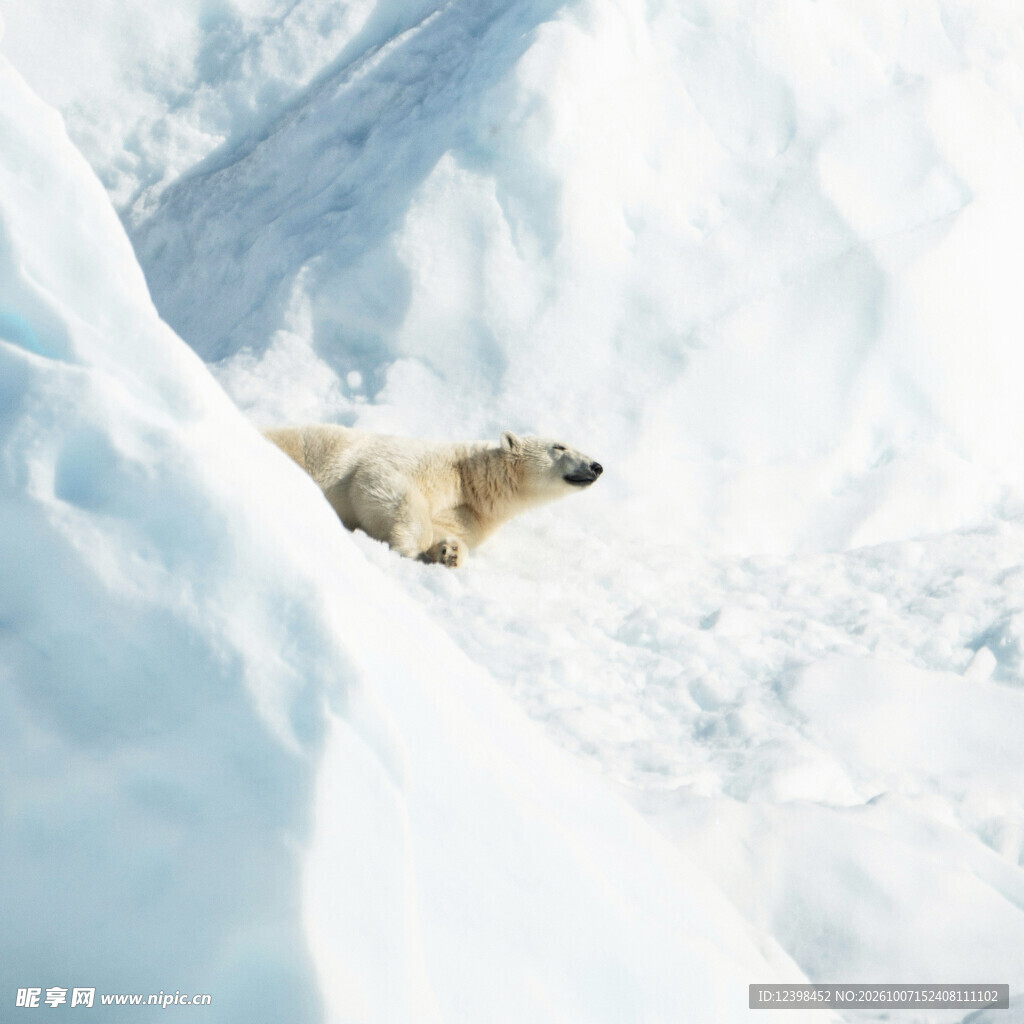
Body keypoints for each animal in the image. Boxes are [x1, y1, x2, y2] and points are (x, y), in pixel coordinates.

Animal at [262, 424, 602, 567]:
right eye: (560, 446)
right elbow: (379, 481)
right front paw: (409, 547)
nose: (596, 466)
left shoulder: (470, 515)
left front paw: (449, 553)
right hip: (300, 445)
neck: (471, 479)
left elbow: (448, 530)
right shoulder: (426, 464)